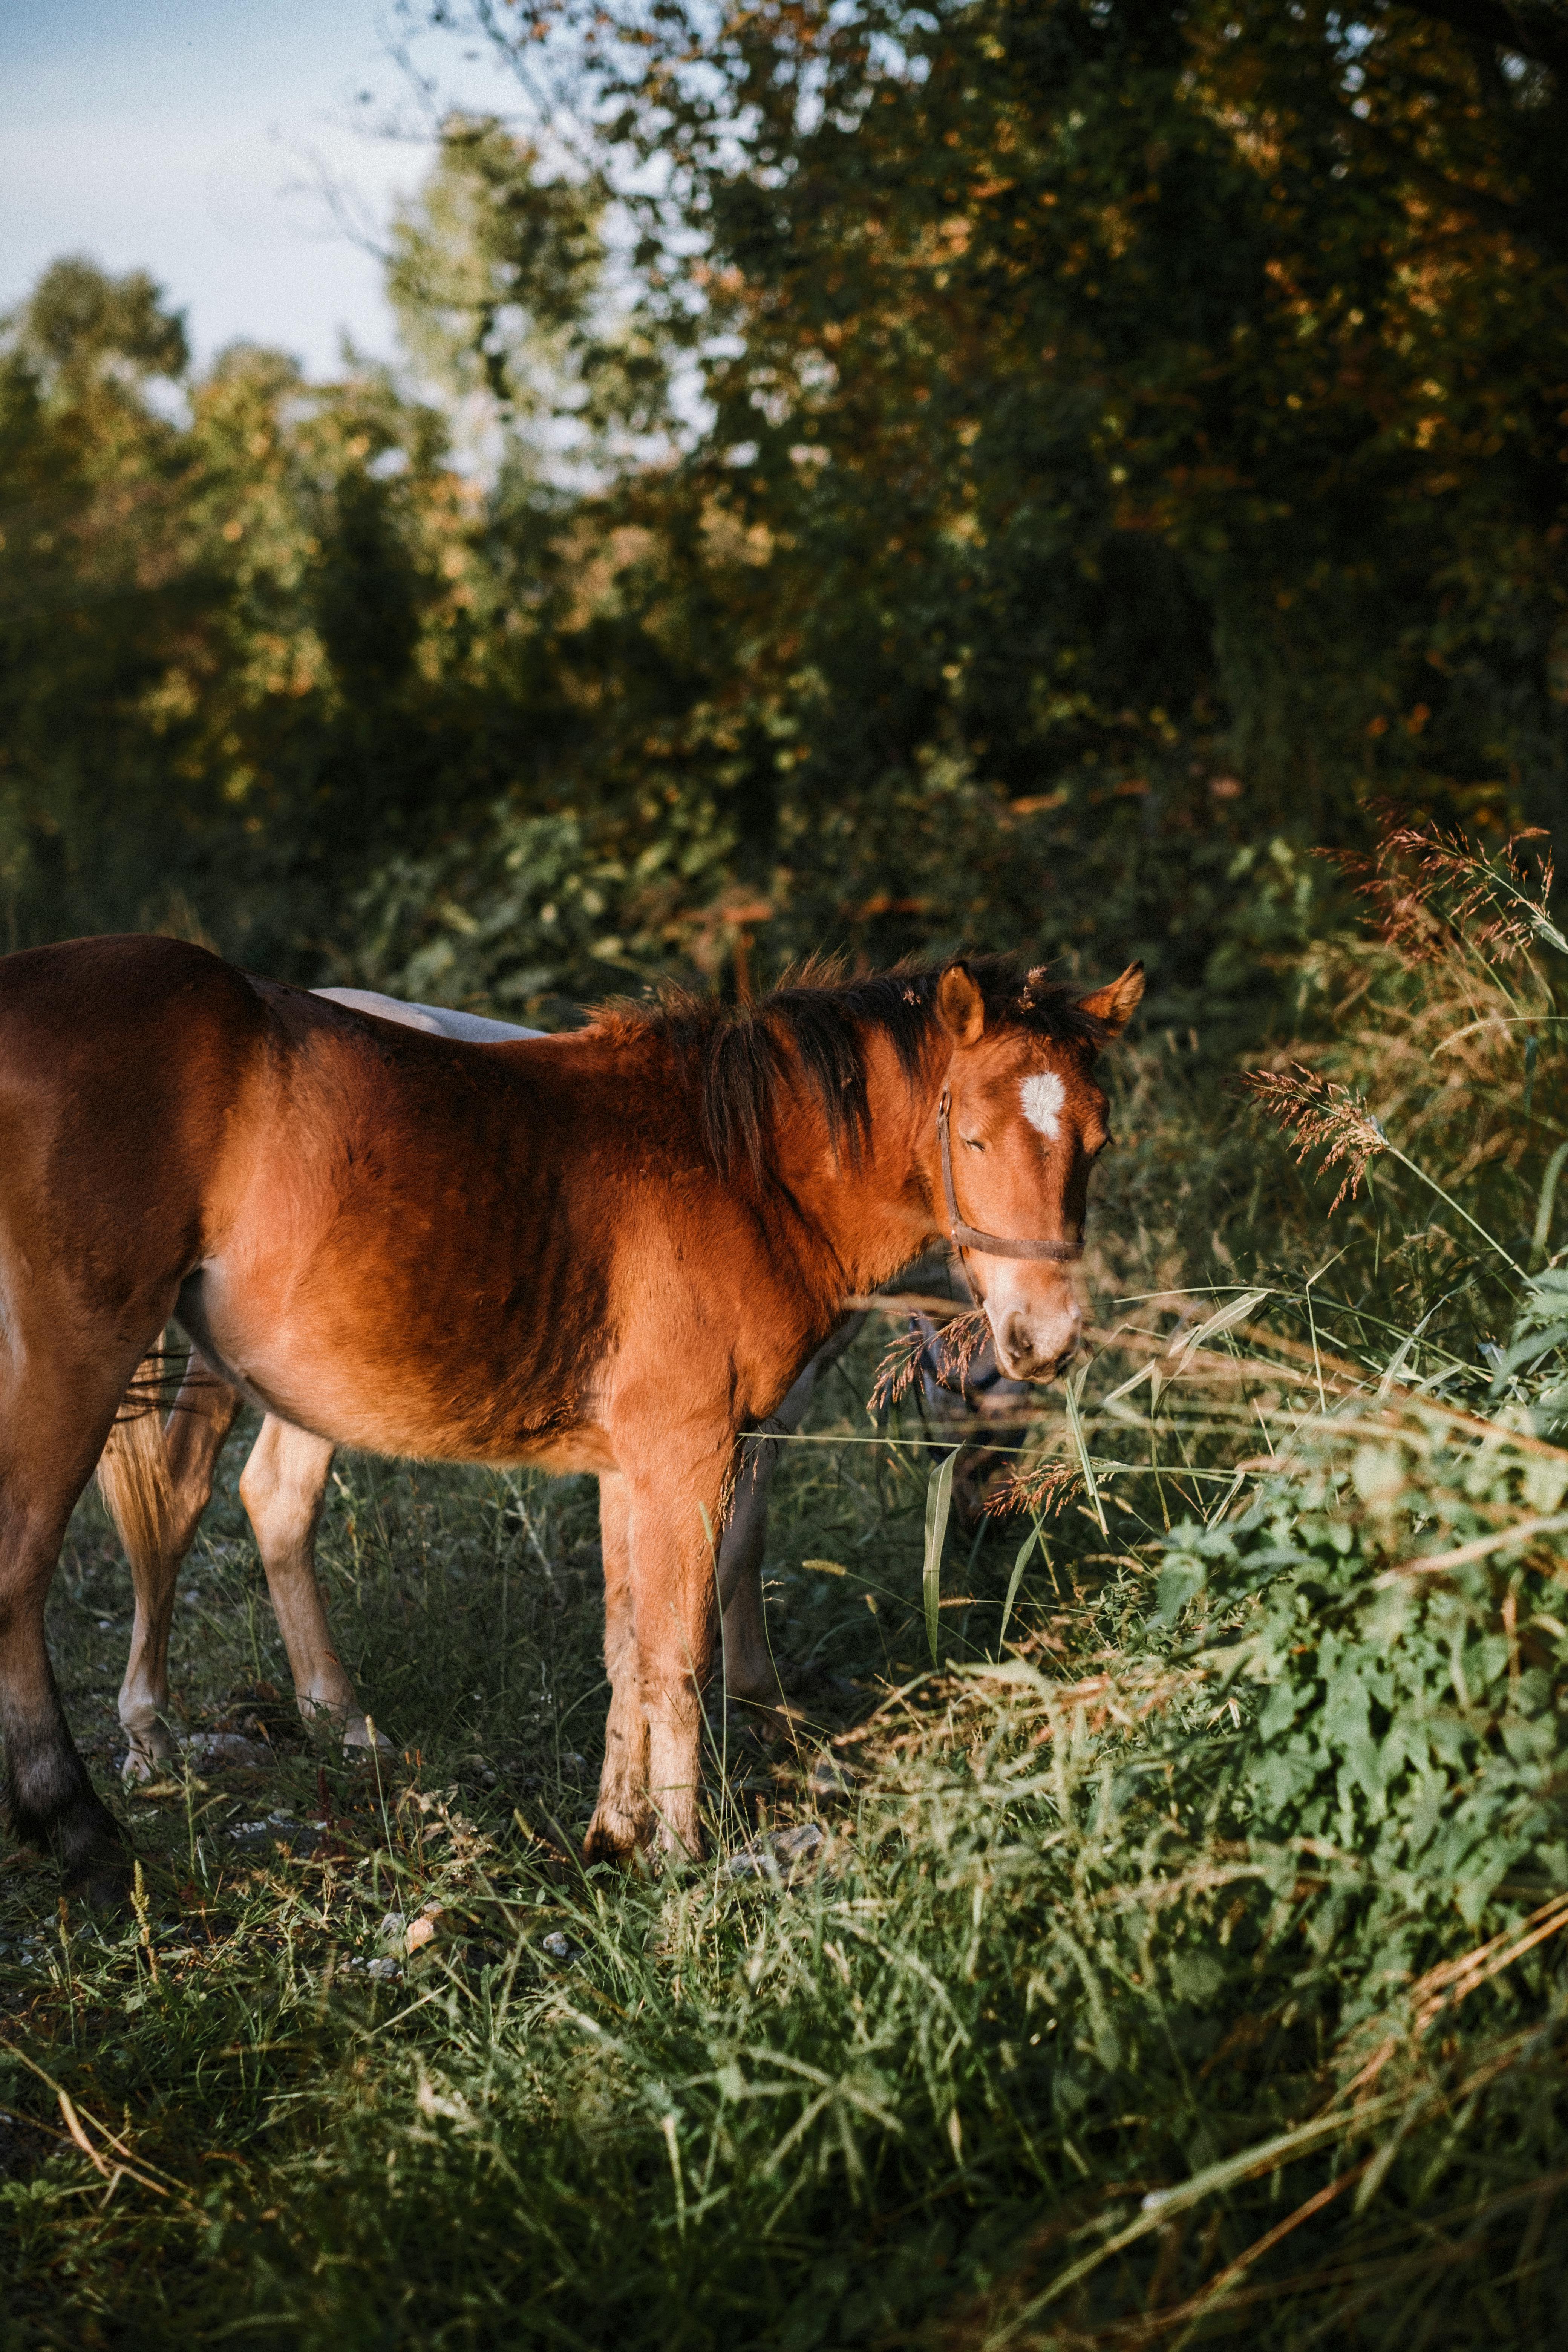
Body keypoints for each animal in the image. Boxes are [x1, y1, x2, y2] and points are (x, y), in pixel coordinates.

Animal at [0, 935, 1140, 1899]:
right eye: (973, 1135)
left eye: (1097, 1141)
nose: (1045, 1337)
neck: (741, 1169)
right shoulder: (695, 1451)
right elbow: (680, 1646)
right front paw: (684, 1848)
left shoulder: (634, 1462)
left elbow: (627, 1645)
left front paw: (616, 1834)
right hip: (83, 1355)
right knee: (41, 1558)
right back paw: (82, 1819)